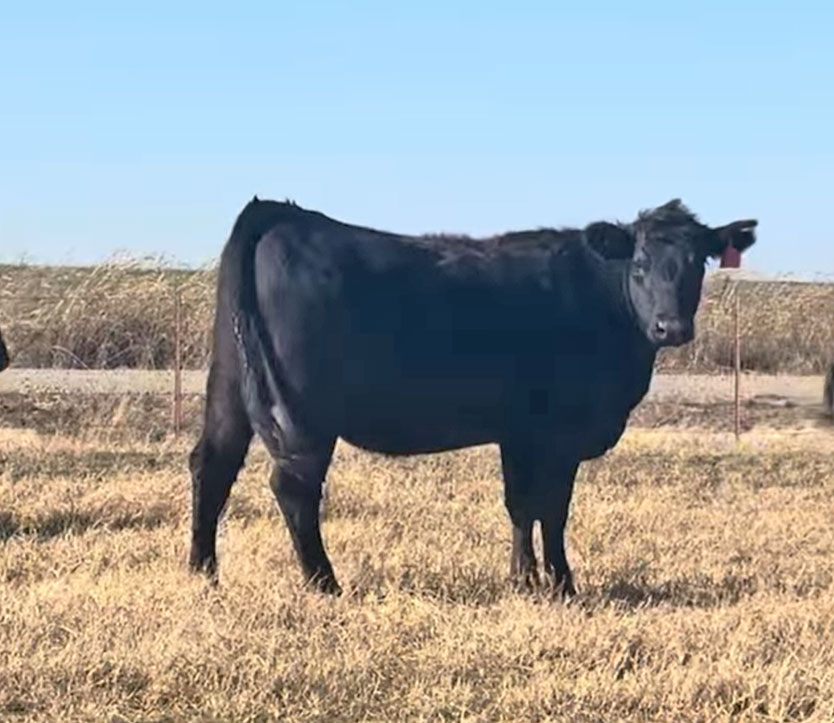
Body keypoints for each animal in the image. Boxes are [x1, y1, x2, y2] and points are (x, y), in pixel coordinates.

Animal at [189, 197, 757, 596]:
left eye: (697, 264)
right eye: (638, 263)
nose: (671, 327)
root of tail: (279, 211)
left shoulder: (519, 432)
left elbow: (520, 506)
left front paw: (523, 579)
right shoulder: (556, 433)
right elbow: (552, 508)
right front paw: (562, 584)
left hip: (229, 388)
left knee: (211, 464)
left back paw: (203, 572)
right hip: (304, 412)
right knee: (293, 487)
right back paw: (324, 583)